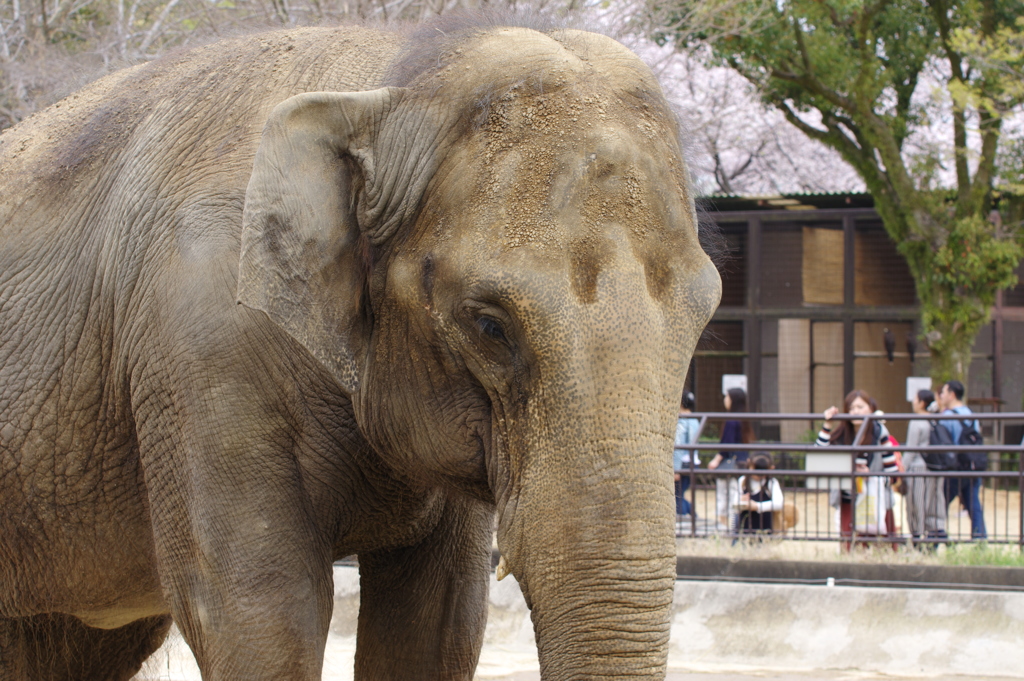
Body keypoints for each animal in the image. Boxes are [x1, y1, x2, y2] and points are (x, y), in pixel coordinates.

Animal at [0, 14, 720, 679]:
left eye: (705, 314)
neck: (389, 77)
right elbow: (259, 612)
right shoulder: (197, 347)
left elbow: (438, 620)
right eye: (488, 325)